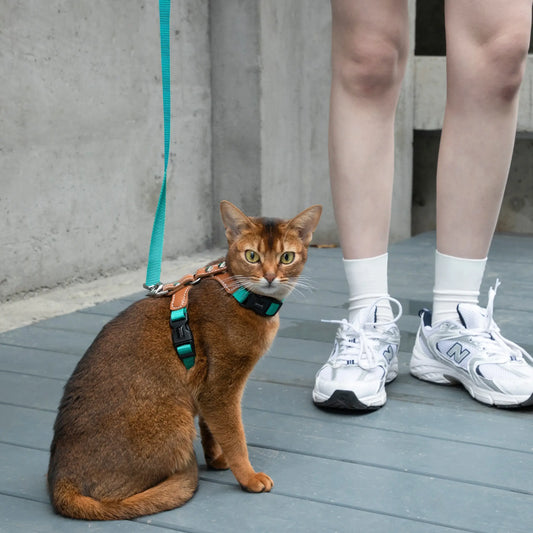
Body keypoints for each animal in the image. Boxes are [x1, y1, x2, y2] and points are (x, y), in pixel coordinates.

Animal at [46, 200, 320, 520]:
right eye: (252, 256)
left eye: (286, 257)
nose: (270, 276)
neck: (237, 293)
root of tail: (60, 483)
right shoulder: (220, 390)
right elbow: (234, 437)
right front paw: (249, 477)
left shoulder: (205, 391)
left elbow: (211, 430)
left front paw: (216, 460)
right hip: (176, 419)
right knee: (114, 497)